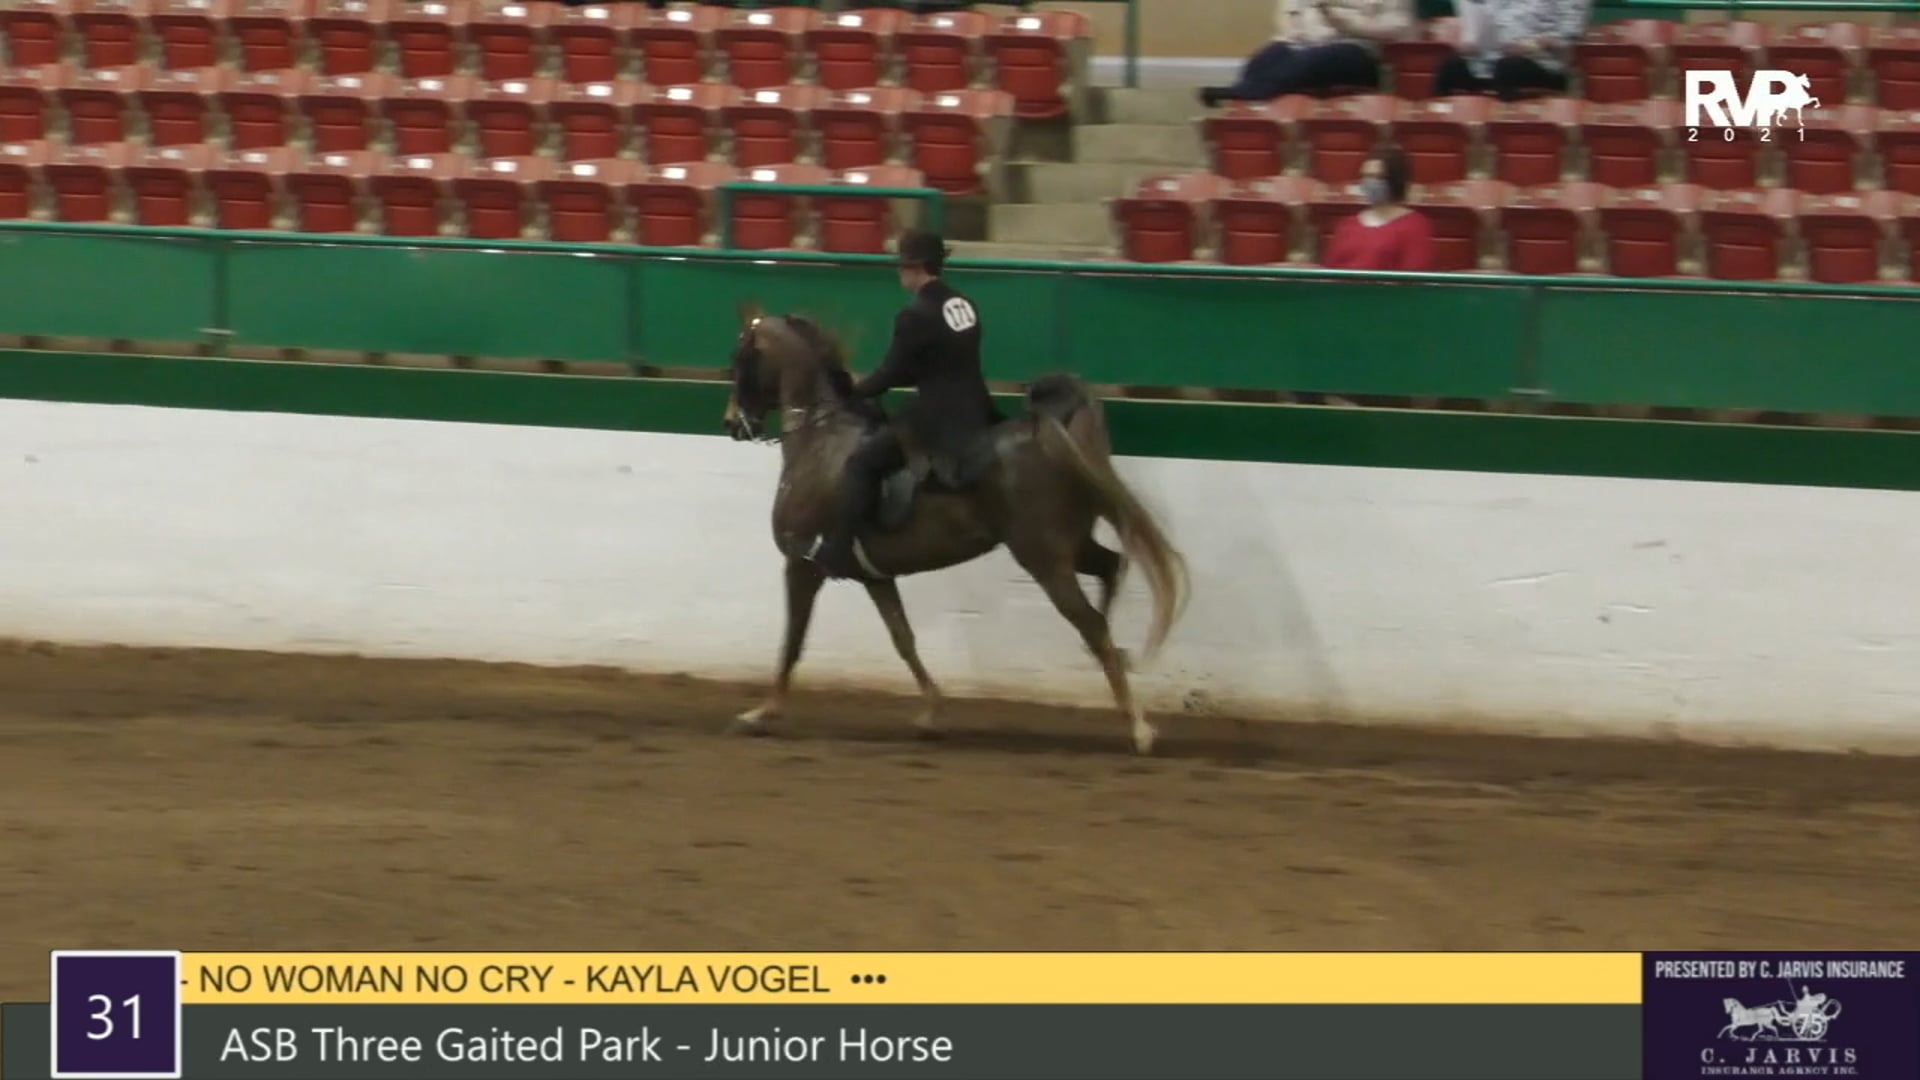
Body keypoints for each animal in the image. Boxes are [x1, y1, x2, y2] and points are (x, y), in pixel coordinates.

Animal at [720, 303, 1189, 754]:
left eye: (741, 358)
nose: (733, 423)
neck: (820, 440)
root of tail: (1045, 431)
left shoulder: (801, 565)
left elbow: (792, 640)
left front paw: (761, 714)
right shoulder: (875, 576)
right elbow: (903, 639)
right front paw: (932, 713)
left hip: (1043, 557)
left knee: (1091, 622)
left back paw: (1139, 728)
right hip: (1071, 545)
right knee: (1111, 570)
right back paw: (1121, 662)